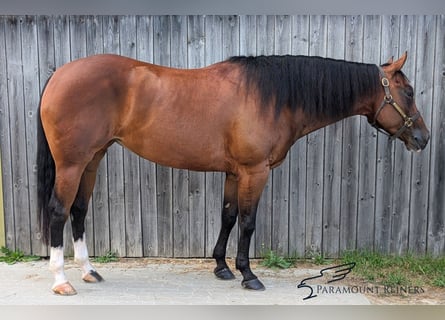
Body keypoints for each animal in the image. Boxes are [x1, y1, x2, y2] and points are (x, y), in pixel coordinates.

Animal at [37, 52, 430, 296]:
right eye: (408, 92)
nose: (423, 138)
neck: (272, 97)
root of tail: (59, 75)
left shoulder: (233, 173)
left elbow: (227, 217)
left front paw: (222, 268)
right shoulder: (255, 172)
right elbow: (248, 222)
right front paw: (248, 275)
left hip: (93, 159)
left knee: (79, 210)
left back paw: (89, 271)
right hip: (72, 164)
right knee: (59, 211)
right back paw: (61, 280)